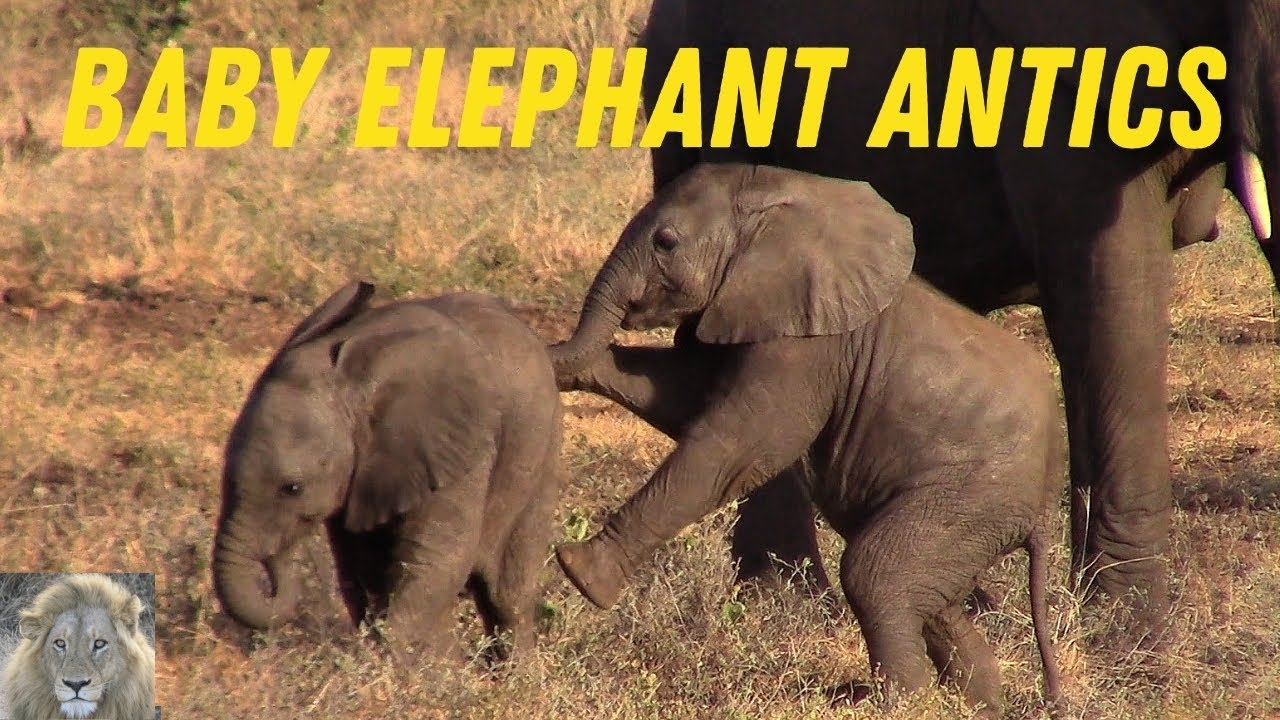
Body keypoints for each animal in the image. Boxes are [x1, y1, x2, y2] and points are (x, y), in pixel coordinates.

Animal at [213, 281, 564, 662]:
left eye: (292, 488)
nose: (277, 564)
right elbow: (367, 568)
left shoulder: (459, 441)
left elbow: (437, 558)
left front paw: (393, 662)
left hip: (542, 452)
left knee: (507, 591)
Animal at [551, 162, 1065, 715]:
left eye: (665, 242)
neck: (783, 200)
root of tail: (1044, 505)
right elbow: (683, 394)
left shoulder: (809, 344)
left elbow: (745, 441)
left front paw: (579, 571)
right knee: (932, 599)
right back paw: (976, 706)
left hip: (971, 497)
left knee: (876, 575)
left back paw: (895, 705)